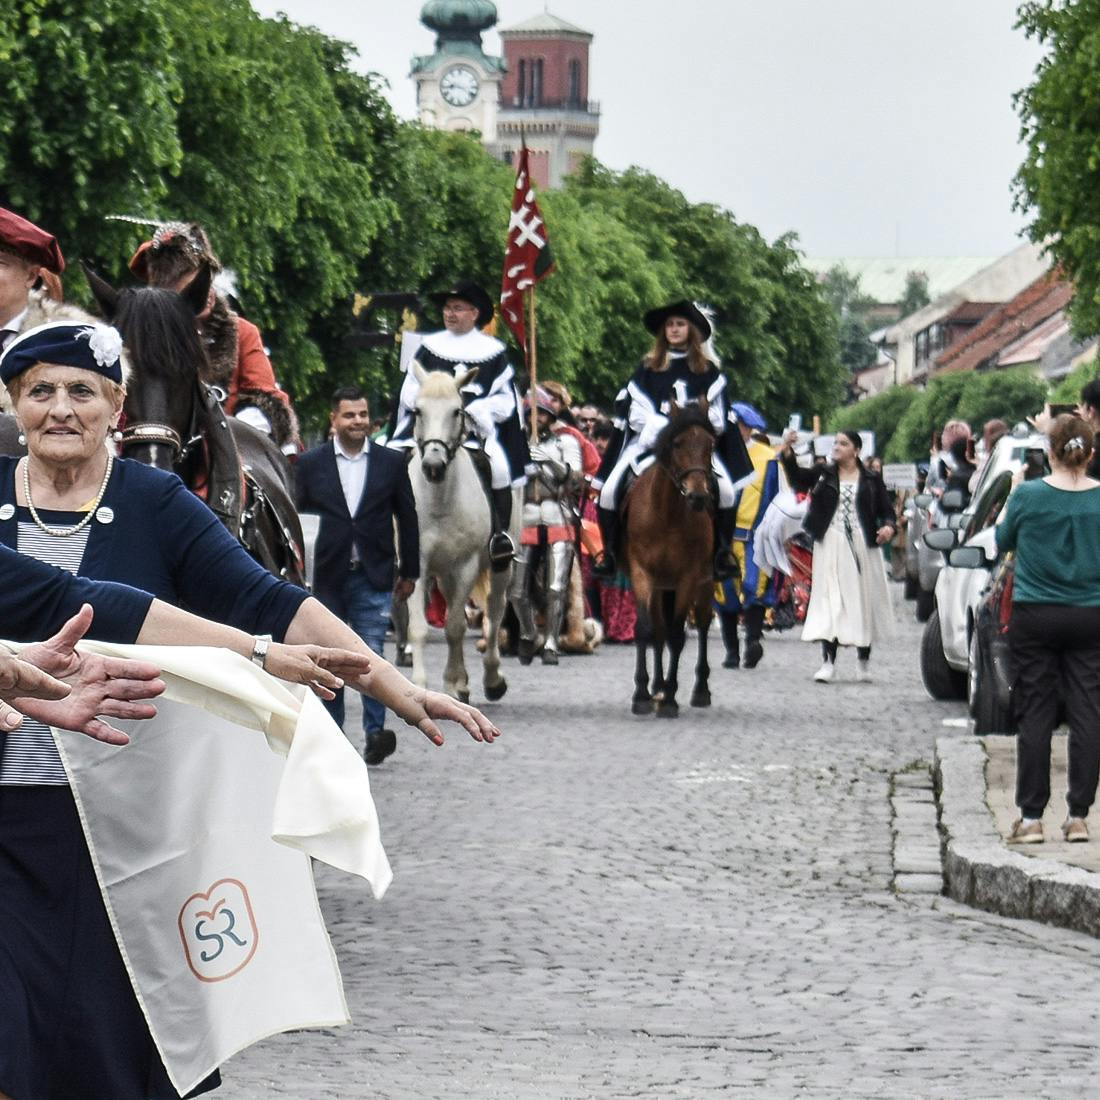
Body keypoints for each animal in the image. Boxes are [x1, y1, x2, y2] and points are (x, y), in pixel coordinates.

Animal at [402, 365, 512, 699]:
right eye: (417, 411)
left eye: (457, 411)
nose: (433, 465)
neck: (439, 502)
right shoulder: (417, 566)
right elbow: (419, 628)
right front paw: (422, 684)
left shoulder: (466, 565)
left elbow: (454, 627)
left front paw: (451, 682)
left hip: (498, 568)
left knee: (494, 610)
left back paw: (492, 678)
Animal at [624, 400, 717, 717]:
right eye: (677, 444)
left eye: (710, 445)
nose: (699, 497)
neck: (667, 515)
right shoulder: (642, 572)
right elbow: (646, 629)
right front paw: (642, 694)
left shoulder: (688, 577)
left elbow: (678, 635)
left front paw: (671, 699)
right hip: (662, 587)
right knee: (659, 630)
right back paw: (657, 688)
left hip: (703, 583)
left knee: (702, 623)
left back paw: (699, 690)